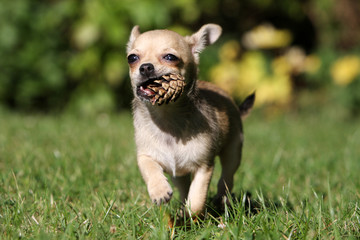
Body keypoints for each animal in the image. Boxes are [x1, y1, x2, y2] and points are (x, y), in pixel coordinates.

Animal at [128, 23, 255, 216]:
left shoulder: (204, 166)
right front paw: (159, 191)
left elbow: (197, 199)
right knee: (183, 188)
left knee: (227, 177)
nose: (145, 67)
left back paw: (221, 198)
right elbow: (150, 170)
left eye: (170, 57)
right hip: (178, 175)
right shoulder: (145, 155)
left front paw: (191, 214)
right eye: (132, 58)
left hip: (233, 151)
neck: (167, 117)